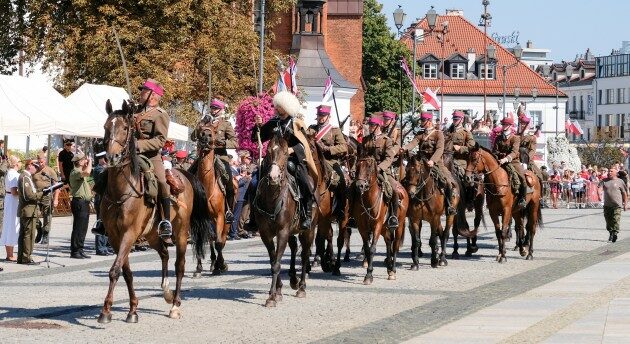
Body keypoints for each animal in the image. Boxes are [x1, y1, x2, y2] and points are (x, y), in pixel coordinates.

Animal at [99, 99, 212, 322]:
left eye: (125, 128)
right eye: (106, 127)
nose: (112, 157)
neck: (121, 190)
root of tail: (183, 173)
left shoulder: (129, 234)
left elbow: (115, 270)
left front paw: (106, 311)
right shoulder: (115, 236)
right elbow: (126, 272)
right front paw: (132, 309)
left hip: (181, 232)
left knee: (179, 265)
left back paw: (175, 304)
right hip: (152, 235)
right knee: (164, 254)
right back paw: (166, 291)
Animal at [252, 129, 318, 306]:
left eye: (285, 153)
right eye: (268, 152)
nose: (273, 177)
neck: (272, 198)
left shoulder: (282, 231)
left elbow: (276, 263)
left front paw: (271, 297)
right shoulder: (266, 234)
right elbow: (274, 260)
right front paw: (277, 292)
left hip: (308, 230)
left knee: (304, 255)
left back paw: (301, 287)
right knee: (294, 248)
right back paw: (293, 281)